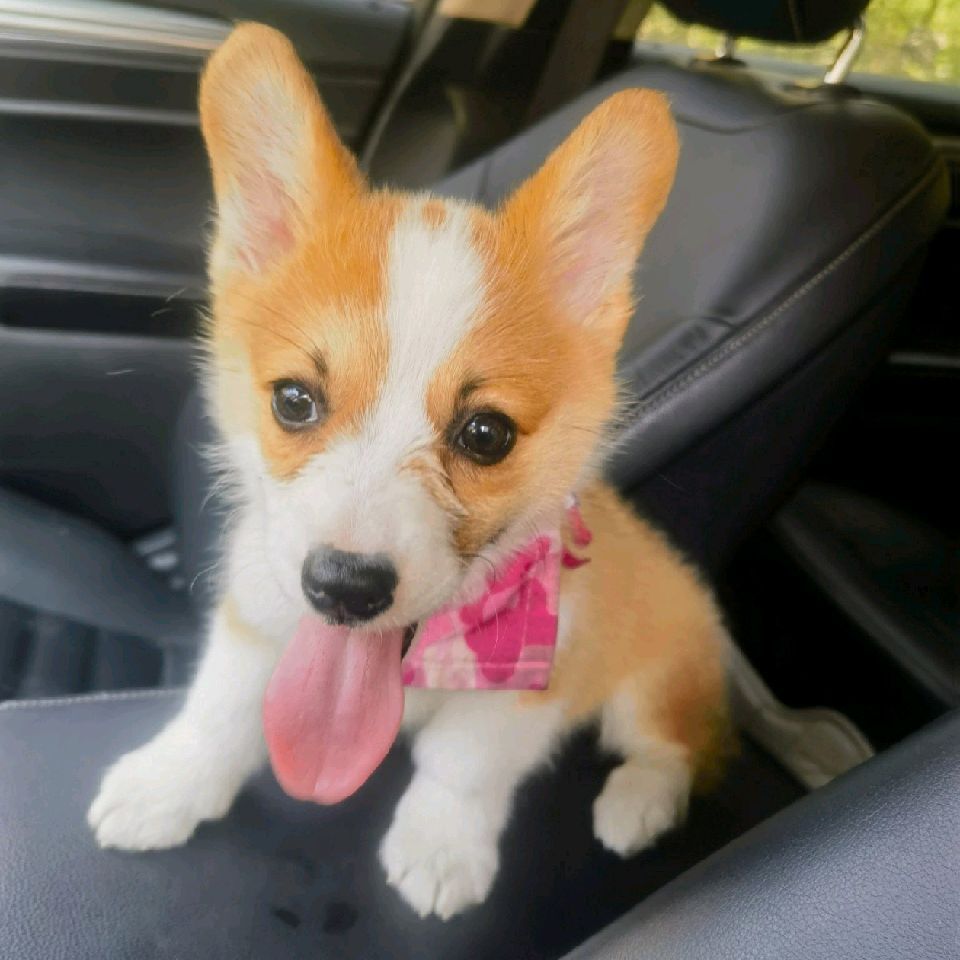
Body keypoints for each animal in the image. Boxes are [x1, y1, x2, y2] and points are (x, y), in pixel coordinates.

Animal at [88, 23, 731, 920]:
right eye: (294, 401)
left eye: (486, 434)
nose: (344, 589)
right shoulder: (258, 607)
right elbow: (221, 702)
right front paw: (166, 784)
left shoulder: (538, 673)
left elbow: (464, 761)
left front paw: (440, 847)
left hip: (656, 672)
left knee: (681, 743)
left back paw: (638, 804)